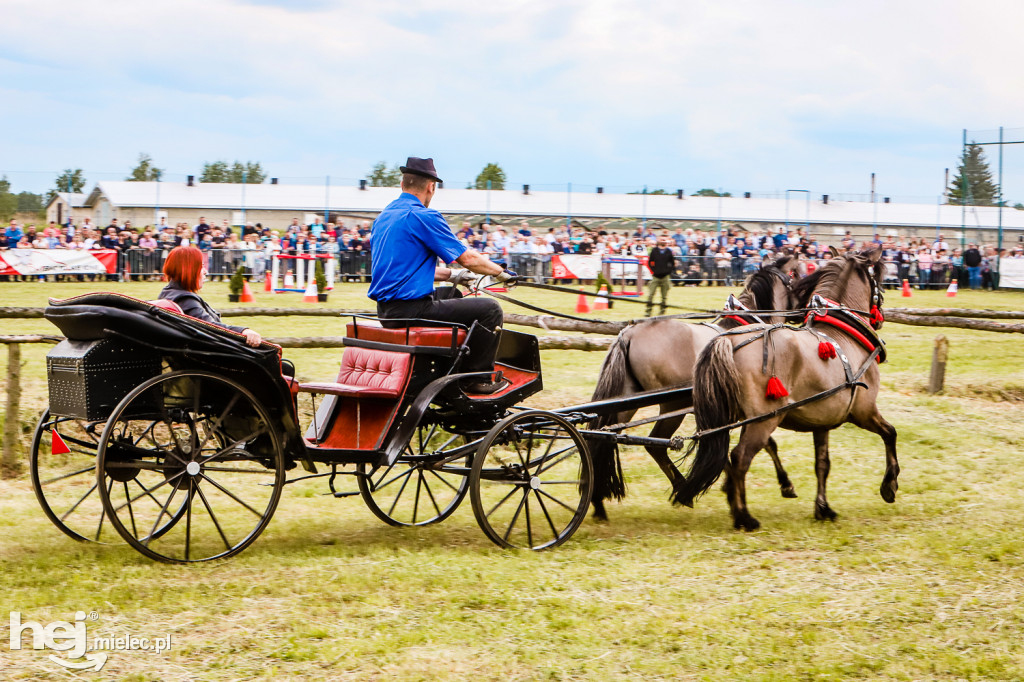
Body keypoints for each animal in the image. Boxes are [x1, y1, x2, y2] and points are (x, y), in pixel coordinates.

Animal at [589, 251, 802, 518]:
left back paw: (598, 501)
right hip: (672, 405)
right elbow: (765, 443)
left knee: (603, 436)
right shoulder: (750, 409)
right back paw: (683, 490)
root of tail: (628, 334)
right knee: (656, 444)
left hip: (627, 401)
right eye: (799, 275)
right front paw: (784, 484)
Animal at [675, 246, 901, 528]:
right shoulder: (863, 410)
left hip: (730, 419)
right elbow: (890, 433)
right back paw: (744, 516)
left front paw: (823, 508)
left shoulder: (823, 421)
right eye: (877, 279)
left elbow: (822, 463)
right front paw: (889, 485)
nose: (881, 316)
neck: (843, 337)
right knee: (739, 458)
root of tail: (727, 342)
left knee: (724, 454)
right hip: (763, 420)